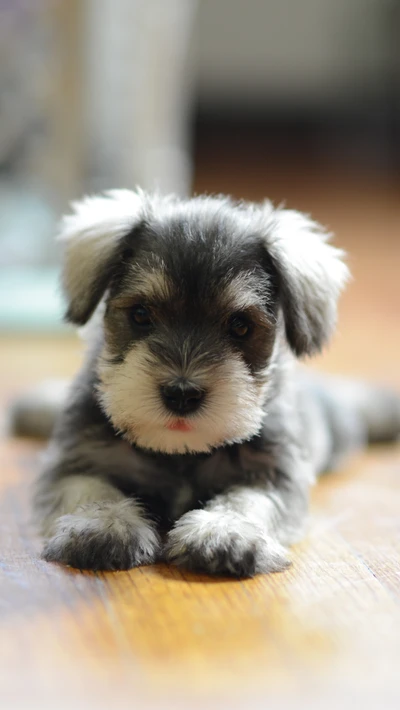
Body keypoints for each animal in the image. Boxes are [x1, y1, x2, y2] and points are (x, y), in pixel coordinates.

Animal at [31, 189, 400, 580]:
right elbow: (90, 489)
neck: (180, 452)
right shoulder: (78, 460)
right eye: (141, 314)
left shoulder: (275, 475)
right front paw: (105, 525)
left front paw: (224, 532)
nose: (181, 394)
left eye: (240, 326)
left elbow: (248, 500)